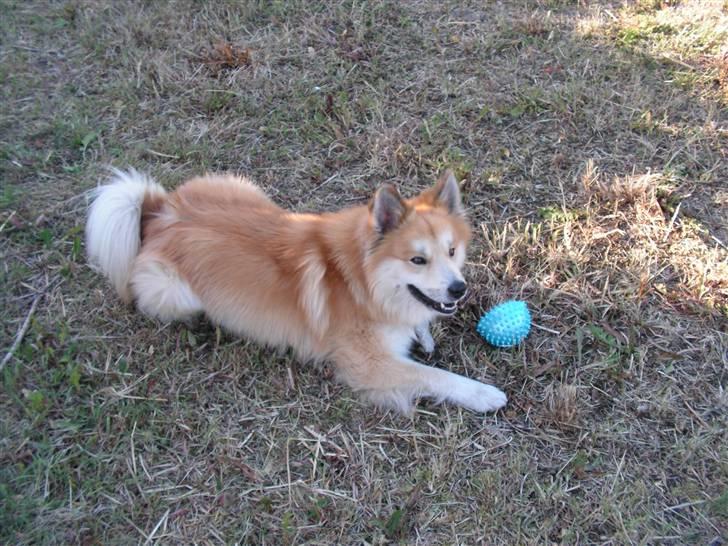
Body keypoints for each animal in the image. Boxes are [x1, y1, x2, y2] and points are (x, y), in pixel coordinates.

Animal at [85, 169, 506, 412]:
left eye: (452, 251)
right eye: (417, 260)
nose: (459, 289)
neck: (361, 281)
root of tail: (160, 212)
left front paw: (423, 330)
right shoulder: (368, 365)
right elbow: (436, 377)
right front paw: (483, 394)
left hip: (245, 188)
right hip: (175, 293)